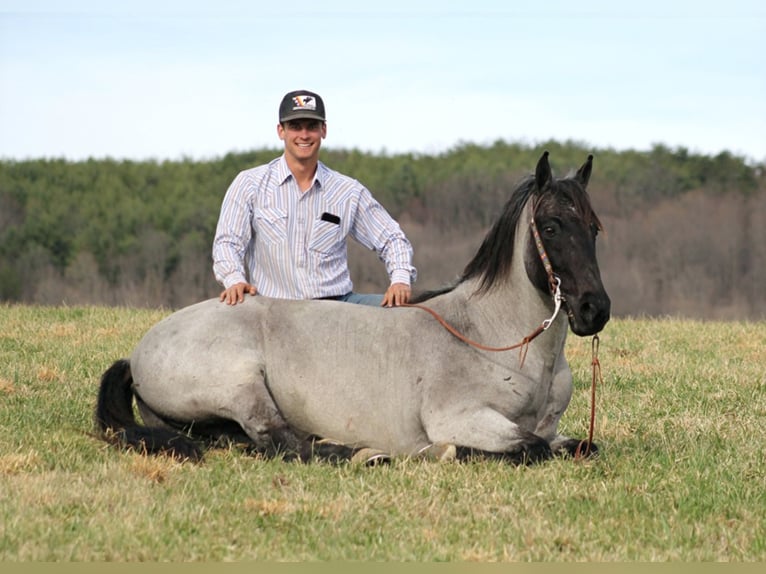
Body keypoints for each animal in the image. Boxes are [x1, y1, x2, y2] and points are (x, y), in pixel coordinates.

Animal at [94, 151, 612, 466]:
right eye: (550, 226)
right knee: (282, 442)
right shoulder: (460, 418)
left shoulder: (552, 428)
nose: (594, 310)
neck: (491, 339)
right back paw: (362, 453)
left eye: (594, 227)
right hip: (240, 386)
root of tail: (137, 354)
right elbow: (529, 447)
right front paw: (443, 452)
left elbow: (580, 445)